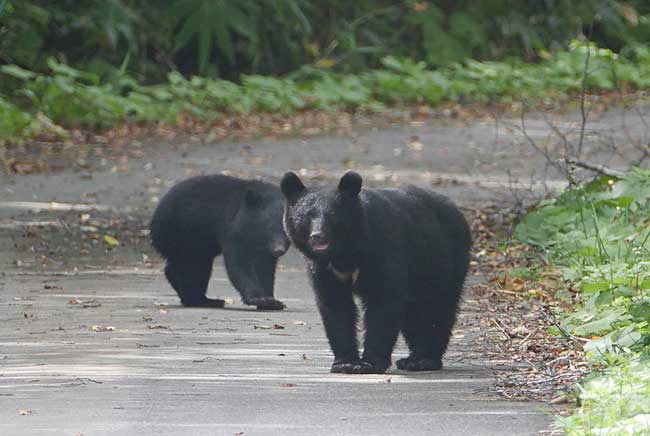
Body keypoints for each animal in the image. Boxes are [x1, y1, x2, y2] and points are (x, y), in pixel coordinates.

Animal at [151, 174, 288, 310]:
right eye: (268, 228)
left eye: (286, 232)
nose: (279, 250)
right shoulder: (233, 229)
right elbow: (239, 263)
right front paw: (259, 299)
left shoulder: (264, 248)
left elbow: (265, 268)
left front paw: (272, 301)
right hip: (184, 235)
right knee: (192, 268)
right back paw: (200, 300)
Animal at [280, 172, 468, 372]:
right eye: (307, 216)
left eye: (333, 215)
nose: (318, 236)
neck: (345, 253)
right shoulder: (324, 269)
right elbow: (335, 305)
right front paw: (346, 363)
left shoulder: (383, 250)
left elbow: (383, 302)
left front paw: (370, 362)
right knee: (414, 312)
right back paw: (412, 358)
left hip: (445, 262)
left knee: (438, 309)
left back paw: (424, 360)